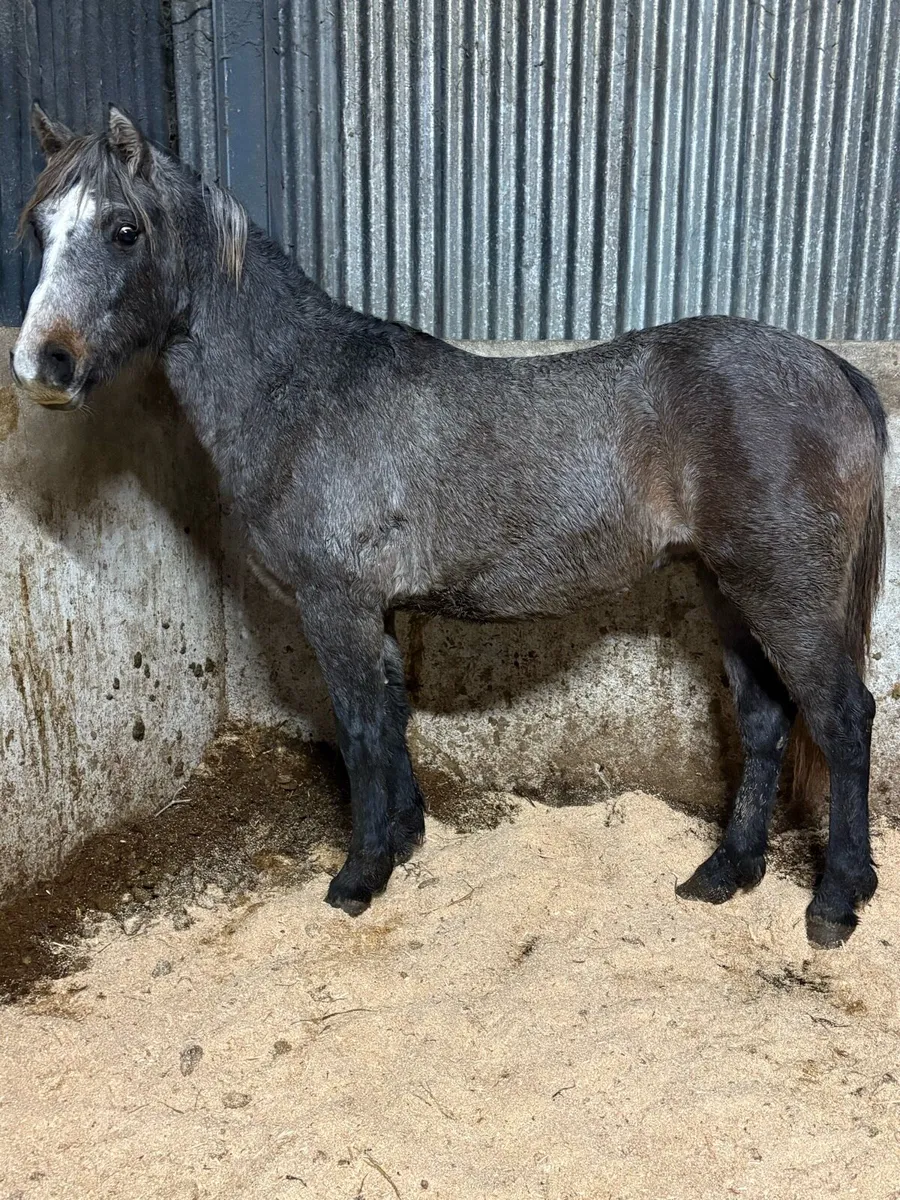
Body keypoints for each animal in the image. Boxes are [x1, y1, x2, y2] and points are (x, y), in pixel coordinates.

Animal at [12, 105, 887, 947]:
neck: (301, 392)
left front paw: (359, 876)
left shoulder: (337, 605)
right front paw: (404, 840)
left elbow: (361, 729)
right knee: (766, 719)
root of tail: (831, 368)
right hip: (730, 592)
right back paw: (726, 872)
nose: (41, 364)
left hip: (783, 596)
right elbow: (392, 717)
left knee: (844, 720)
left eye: (124, 230)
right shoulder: (375, 610)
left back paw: (836, 902)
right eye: (40, 226)